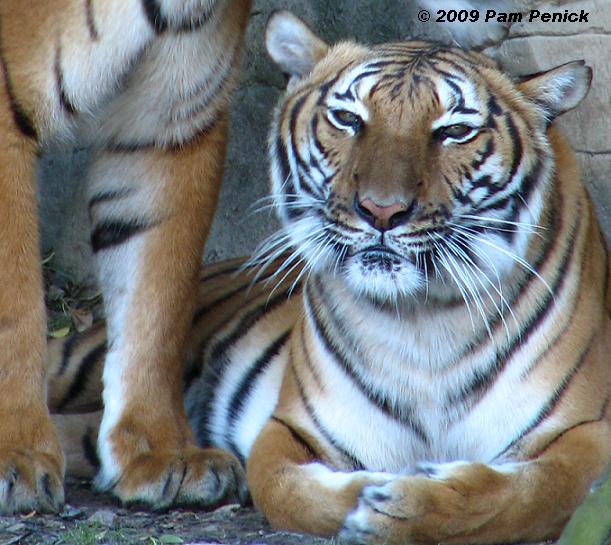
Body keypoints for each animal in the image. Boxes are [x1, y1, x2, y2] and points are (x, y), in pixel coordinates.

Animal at [45, 8, 608, 544]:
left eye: (454, 132)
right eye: (347, 119)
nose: (381, 211)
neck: (425, 320)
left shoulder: (588, 431)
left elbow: (527, 496)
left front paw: (409, 502)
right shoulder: (290, 428)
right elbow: (289, 491)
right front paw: (378, 493)